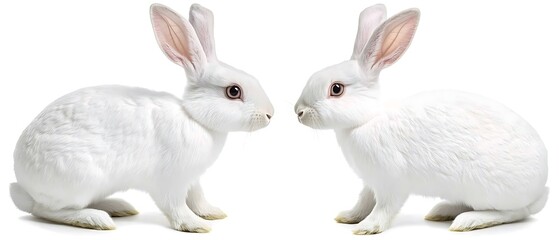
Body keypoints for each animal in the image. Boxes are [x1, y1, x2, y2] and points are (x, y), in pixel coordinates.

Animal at [10, 3, 274, 232]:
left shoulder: (193, 179)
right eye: (234, 91)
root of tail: (24, 183)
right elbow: (176, 206)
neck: (195, 118)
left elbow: (198, 197)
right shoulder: (171, 181)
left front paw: (213, 213)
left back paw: (118, 207)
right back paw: (97, 219)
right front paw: (196, 225)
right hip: (78, 179)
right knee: (45, 210)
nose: (270, 114)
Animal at [296, 4, 548, 234]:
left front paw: (367, 227)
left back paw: (467, 221)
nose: (298, 112)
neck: (365, 120)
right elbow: (364, 201)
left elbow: (384, 207)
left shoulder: (390, 181)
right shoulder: (370, 182)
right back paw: (442, 211)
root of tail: (540, 186)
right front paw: (348, 217)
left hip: (488, 192)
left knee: (515, 212)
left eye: (336, 89)